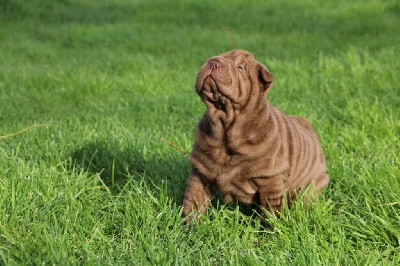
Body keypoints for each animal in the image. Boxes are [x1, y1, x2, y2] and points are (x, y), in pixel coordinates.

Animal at [183, 49, 330, 222]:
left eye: (241, 67)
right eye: (214, 57)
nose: (213, 62)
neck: (224, 126)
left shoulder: (270, 180)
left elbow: (271, 209)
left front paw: (272, 227)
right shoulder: (199, 172)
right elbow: (193, 200)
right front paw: (188, 224)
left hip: (313, 184)